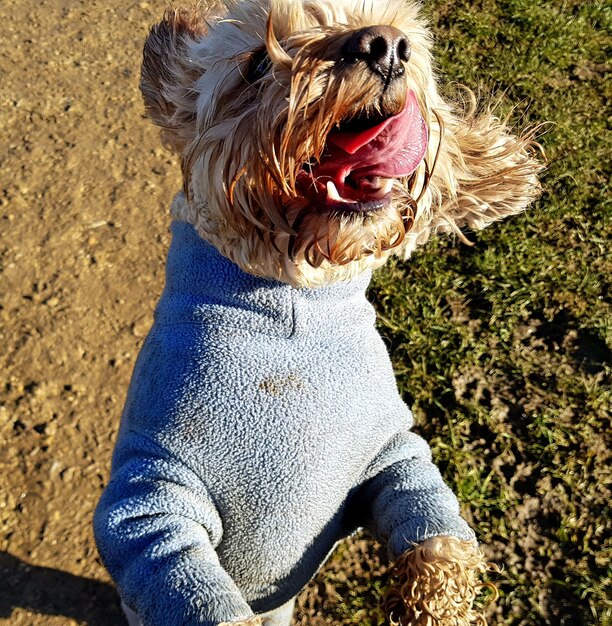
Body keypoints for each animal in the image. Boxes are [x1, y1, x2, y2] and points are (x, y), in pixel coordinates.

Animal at [93, 0, 544, 620]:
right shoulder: (152, 491)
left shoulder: (389, 453)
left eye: (408, 41)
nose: (385, 45)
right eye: (257, 64)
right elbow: (182, 574)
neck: (293, 310)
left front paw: (438, 605)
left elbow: (434, 528)